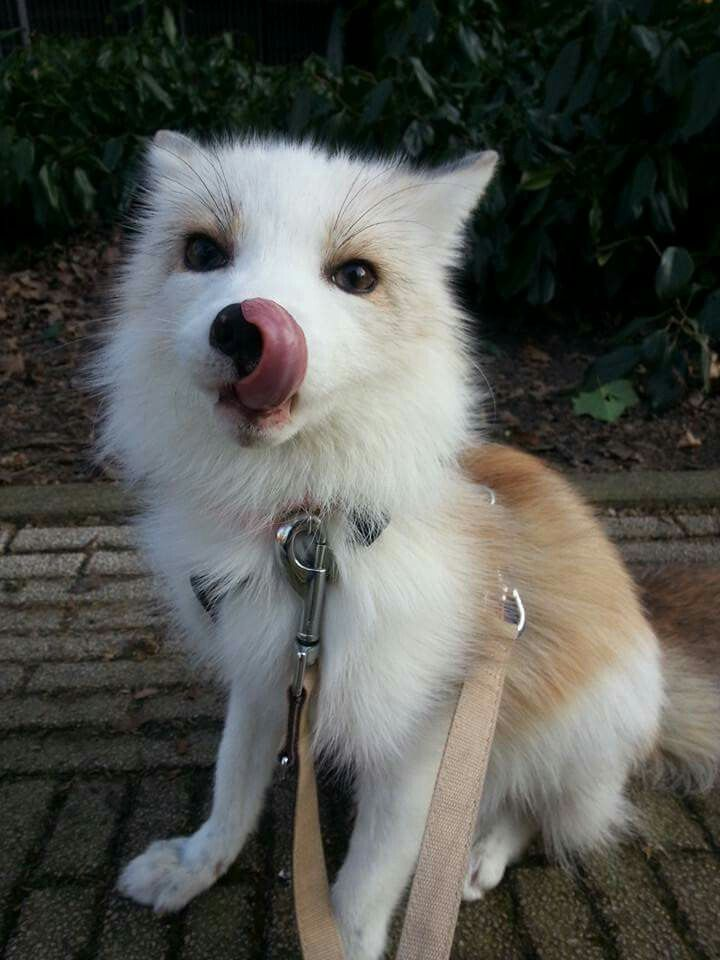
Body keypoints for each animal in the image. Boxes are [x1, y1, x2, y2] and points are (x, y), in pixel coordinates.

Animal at [93, 131, 719, 960]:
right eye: (203, 251)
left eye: (356, 275)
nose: (248, 328)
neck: (307, 537)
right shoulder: (266, 677)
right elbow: (232, 791)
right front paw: (197, 865)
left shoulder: (421, 746)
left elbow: (361, 895)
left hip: (558, 731)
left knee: (535, 810)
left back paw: (482, 851)